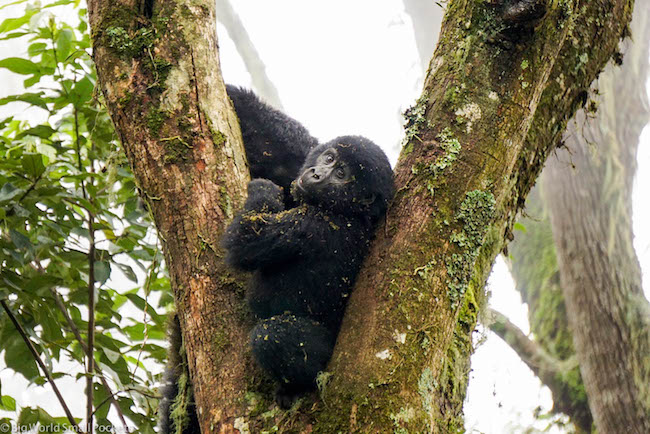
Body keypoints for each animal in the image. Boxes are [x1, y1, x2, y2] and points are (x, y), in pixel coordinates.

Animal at [223, 136, 394, 406]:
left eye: (341, 174)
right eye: (329, 158)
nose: (316, 174)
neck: (349, 211)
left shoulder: (311, 224)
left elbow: (245, 238)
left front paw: (263, 189)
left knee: (271, 335)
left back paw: (296, 388)